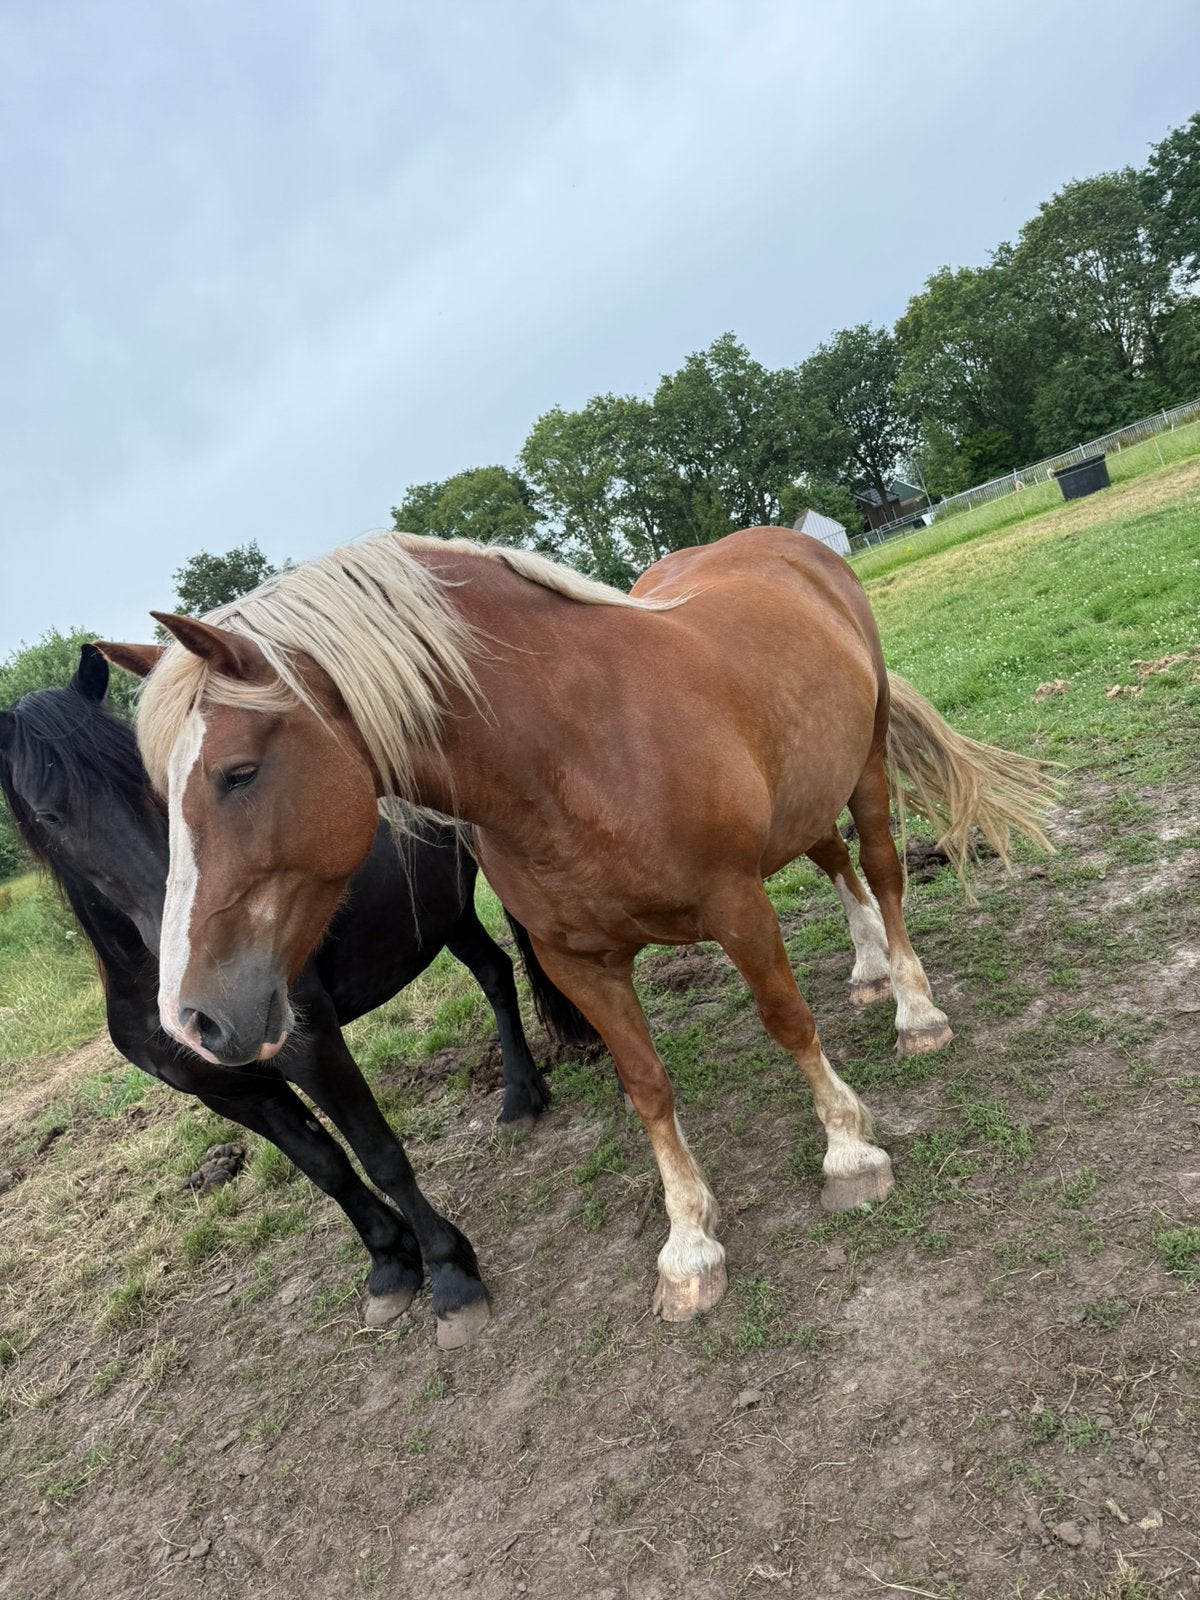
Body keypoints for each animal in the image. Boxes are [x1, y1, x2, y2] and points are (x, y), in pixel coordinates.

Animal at [0, 645, 598, 1348]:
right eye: (50, 816)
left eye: (152, 787)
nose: (200, 965)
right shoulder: (232, 1092)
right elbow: (326, 1166)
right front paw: (391, 1262)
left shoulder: (310, 1047)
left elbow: (379, 1153)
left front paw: (451, 1274)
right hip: (444, 915)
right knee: (497, 973)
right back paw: (520, 1096)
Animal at [111, 525, 1054, 1337]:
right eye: (160, 795)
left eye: (237, 773)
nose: (193, 1020)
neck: (574, 746)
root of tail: (792, 545)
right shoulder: (580, 962)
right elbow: (646, 1086)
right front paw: (690, 1246)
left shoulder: (736, 906)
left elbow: (787, 1021)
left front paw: (850, 1151)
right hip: (805, 788)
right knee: (833, 860)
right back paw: (866, 969)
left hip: (864, 767)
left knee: (885, 874)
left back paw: (913, 1007)